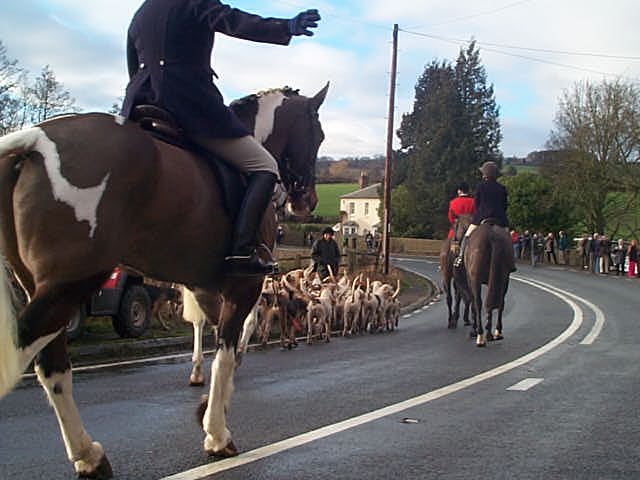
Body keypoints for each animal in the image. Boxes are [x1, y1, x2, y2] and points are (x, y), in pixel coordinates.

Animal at [0, 82, 328, 476]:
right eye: (318, 135)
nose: (307, 201)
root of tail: (34, 140)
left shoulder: (206, 288)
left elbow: (221, 346)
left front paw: (208, 407)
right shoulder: (242, 286)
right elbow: (228, 350)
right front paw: (216, 433)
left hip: (43, 287)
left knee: (53, 368)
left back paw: (88, 456)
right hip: (69, 285)